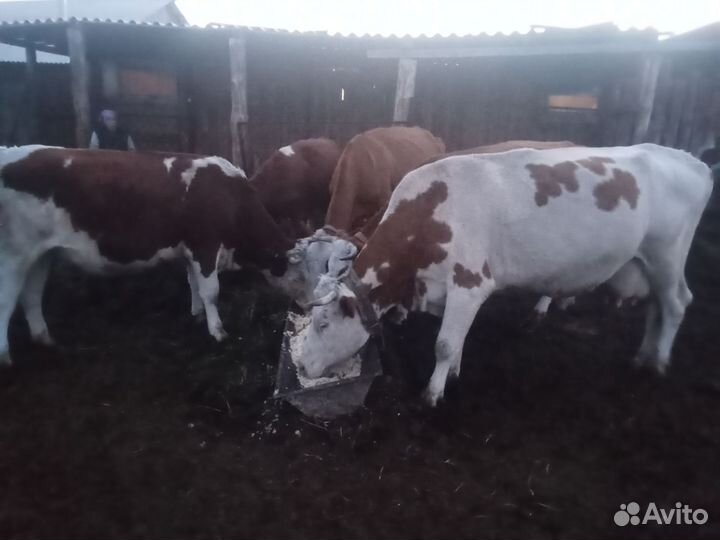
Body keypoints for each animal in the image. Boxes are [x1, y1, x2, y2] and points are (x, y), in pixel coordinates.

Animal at [0, 146, 297, 366]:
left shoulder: (190, 250)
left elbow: (194, 285)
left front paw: (197, 315)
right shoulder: (205, 245)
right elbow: (211, 291)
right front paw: (218, 332)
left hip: (40, 254)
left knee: (31, 295)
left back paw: (45, 339)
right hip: (13, 255)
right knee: (7, 300)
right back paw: (5, 357)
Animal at [294, 144, 713, 406]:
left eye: (323, 323)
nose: (299, 364)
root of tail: (691, 161)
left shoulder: (469, 281)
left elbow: (444, 343)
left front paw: (433, 393)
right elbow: (457, 339)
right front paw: (454, 373)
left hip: (667, 254)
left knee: (677, 303)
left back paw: (658, 363)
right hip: (652, 263)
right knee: (657, 306)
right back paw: (643, 355)